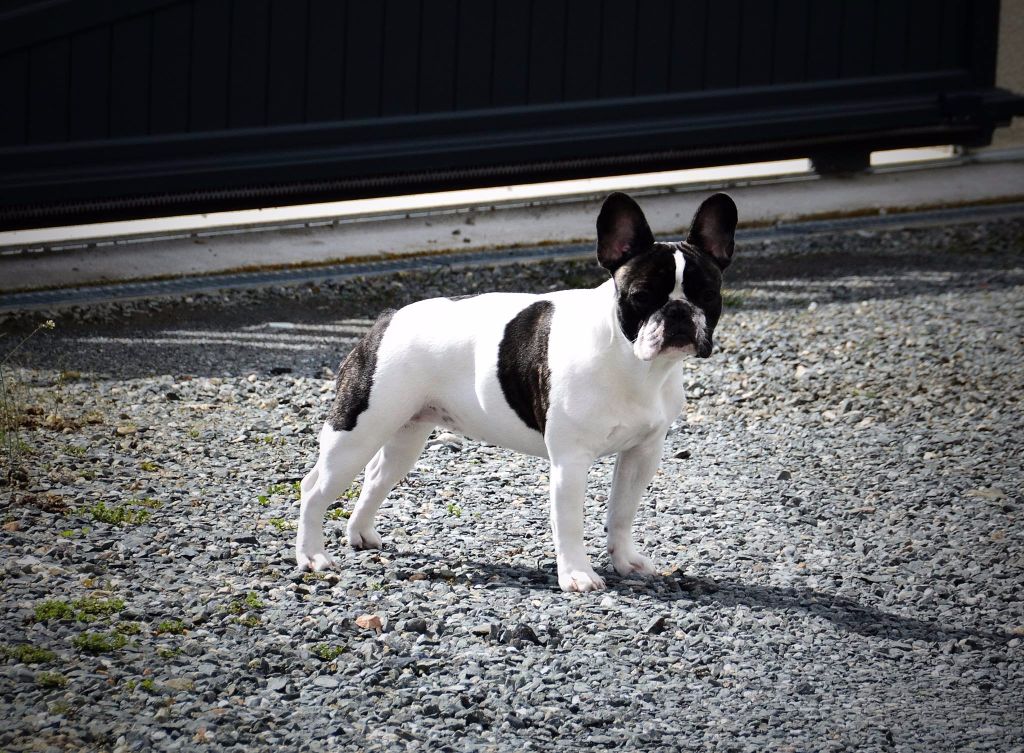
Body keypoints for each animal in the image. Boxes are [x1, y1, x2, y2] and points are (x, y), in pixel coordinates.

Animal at [295, 191, 737, 592]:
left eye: (708, 295)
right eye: (642, 297)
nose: (678, 312)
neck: (633, 361)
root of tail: (388, 319)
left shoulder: (642, 453)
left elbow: (623, 513)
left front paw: (625, 561)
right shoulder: (570, 461)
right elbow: (569, 522)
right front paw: (577, 575)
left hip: (404, 434)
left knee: (375, 477)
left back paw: (360, 534)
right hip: (356, 431)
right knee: (314, 488)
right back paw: (312, 556)